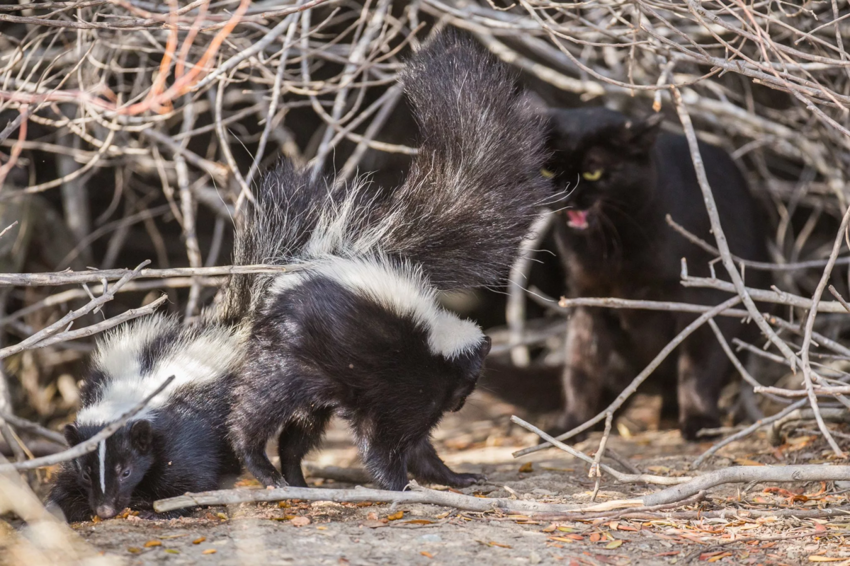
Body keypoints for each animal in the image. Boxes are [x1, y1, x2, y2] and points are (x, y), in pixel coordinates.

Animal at [47, 316, 242, 524]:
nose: (105, 510)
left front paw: (159, 511)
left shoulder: (184, 437)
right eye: (85, 474)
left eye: (126, 472)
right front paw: (68, 507)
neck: (131, 391)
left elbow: (191, 481)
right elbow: (66, 483)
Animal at [224, 31, 544, 492]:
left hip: (321, 375)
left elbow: (419, 446)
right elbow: (386, 440)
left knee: (298, 431)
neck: (437, 344)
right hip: (289, 357)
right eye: (473, 376)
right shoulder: (403, 387)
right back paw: (263, 468)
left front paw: (457, 476)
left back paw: (296, 478)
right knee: (258, 409)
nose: (460, 404)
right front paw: (400, 484)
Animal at [544, 108, 768, 442]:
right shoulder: (587, 298)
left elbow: (698, 368)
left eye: (594, 171)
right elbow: (581, 365)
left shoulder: (702, 301)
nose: (563, 195)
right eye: (548, 170)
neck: (613, 248)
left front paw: (700, 421)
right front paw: (571, 425)